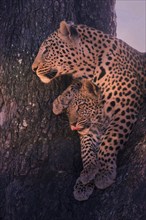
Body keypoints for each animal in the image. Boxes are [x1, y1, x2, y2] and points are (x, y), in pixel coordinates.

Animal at [32, 21, 146, 201]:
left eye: (47, 50)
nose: (33, 68)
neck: (90, 68)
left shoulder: (124, 111)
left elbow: (108, 141)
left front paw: (104, 173)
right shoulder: (90, 125)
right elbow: (86, 150)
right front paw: (85, 178)